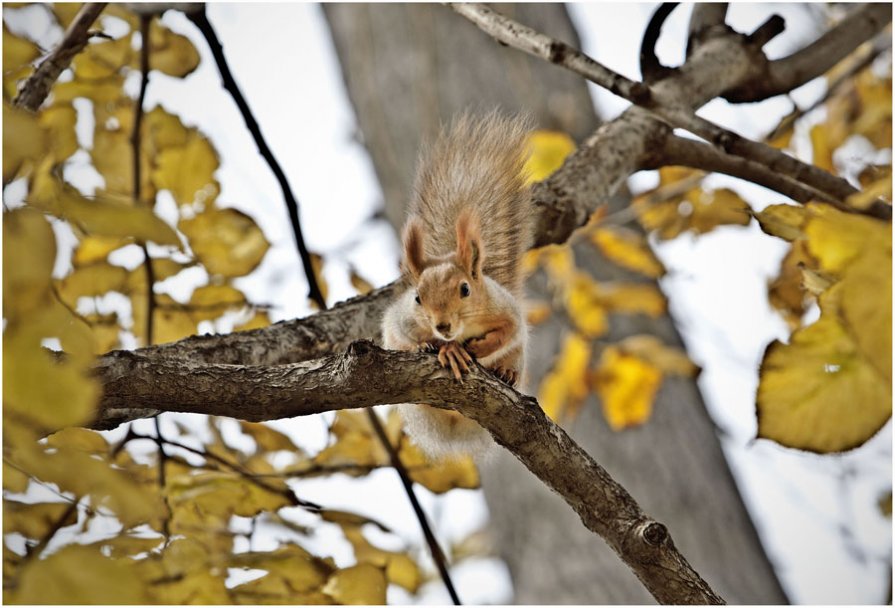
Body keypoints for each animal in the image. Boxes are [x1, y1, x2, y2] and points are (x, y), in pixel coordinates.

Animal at [382, 111, 536, 458]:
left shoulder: (503, 307)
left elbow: (510, 331)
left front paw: (481, 348)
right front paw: (442, 348)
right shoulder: (401, 319)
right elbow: (400, 333)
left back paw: (507, 371)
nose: (442, 326)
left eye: (465, 289)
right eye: (417, 298)